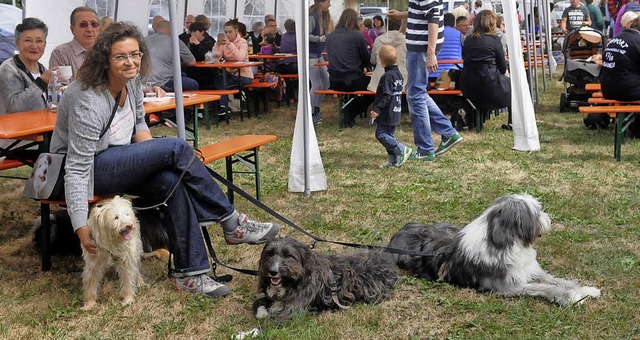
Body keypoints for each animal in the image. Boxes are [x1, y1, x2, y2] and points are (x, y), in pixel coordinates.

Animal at [252, 238, 398, 320]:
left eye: (288, 255)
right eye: (270, 253)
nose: (273, 271)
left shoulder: (290, 312)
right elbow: (258, 302)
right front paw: (261, 311)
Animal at [388, 193, 604, 306]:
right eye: (536, 213)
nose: (549, 218)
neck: (510, 245)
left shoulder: (529, 270)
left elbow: (558, 280)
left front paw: (586, 289)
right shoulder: (506, 287)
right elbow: (542, 288)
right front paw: (571, 297)